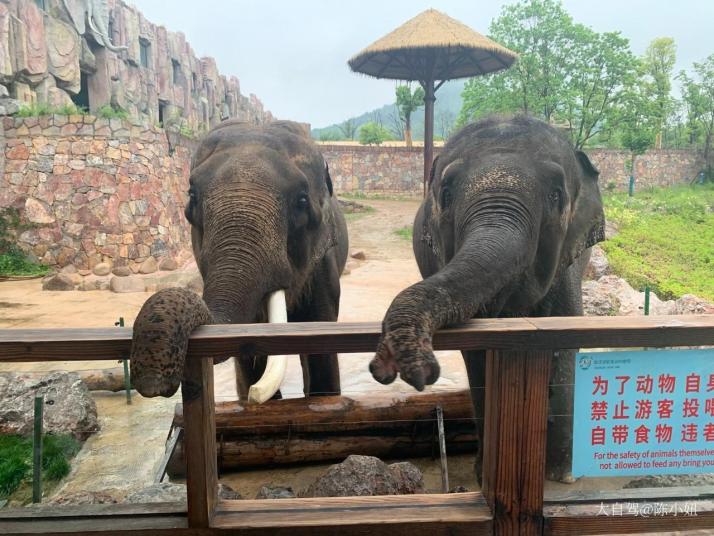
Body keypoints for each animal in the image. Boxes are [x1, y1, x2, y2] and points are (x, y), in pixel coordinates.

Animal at [370, 114, 604, 482]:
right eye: (447, 193)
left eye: (556, 195)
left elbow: (566, 341)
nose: (421, 374)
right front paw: (485, 476)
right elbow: (478, 352)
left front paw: (561, 475)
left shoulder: (567, 270)